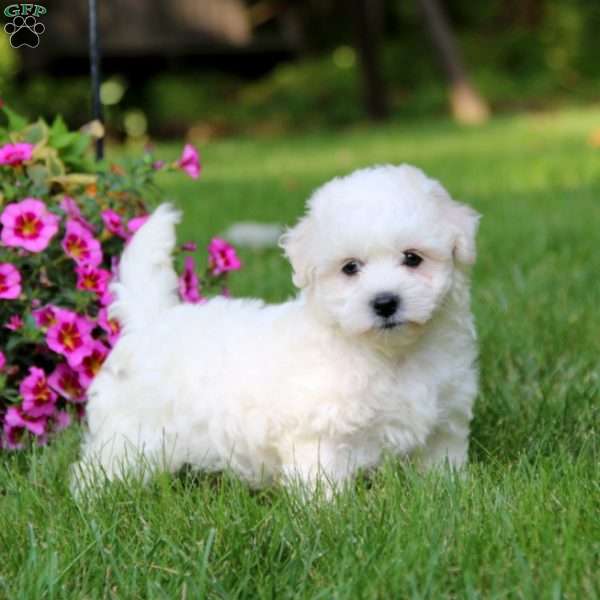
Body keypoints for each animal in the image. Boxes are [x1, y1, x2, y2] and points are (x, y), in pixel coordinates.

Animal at [72, 165, 480, 496]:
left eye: (413, 258)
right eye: (350, 268)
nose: (384, 302)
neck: (391, 353)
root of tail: (151, 319)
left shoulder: (444, 420)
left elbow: (441, 463)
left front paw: (447, 494)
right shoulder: (319, 431)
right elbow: (322, 483)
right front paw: (331, 518)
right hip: (131, 432)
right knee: (100, 466)